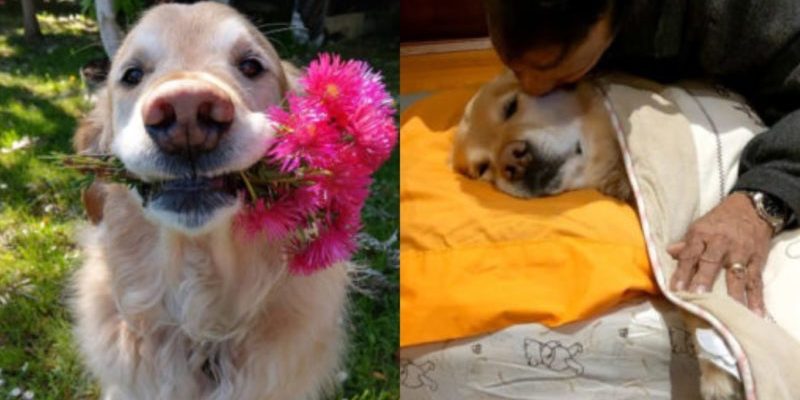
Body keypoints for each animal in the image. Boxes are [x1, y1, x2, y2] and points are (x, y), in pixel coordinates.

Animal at [454, 70, 740, 398]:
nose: (511, 162)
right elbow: (692, 300)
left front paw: (718, 372)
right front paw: (718, 369)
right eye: (483, 167)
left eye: (511, 106)